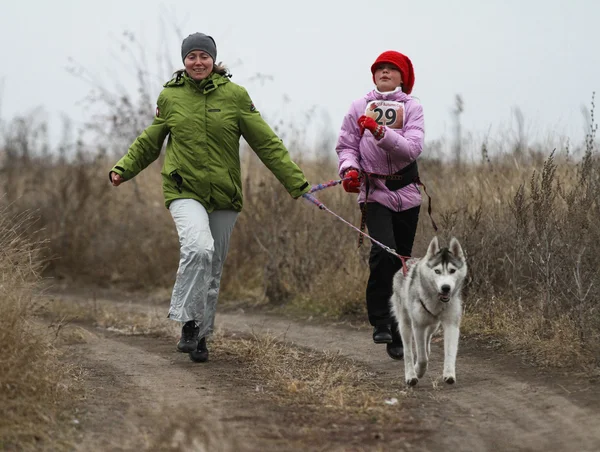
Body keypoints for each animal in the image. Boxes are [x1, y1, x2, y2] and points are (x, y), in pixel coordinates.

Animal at [390, 235, 468, 386]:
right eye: (437, 271)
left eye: (452, 271)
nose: (445, 287)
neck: (437, 301)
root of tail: (406, 262)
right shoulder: (418, 325)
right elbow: (421, 357)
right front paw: (418, 371)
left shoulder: (451, 324)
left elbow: (450, 353)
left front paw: (449, 374)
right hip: (406, 324)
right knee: (408, 351)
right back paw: (410, 374)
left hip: (434, 324)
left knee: (428, 338)